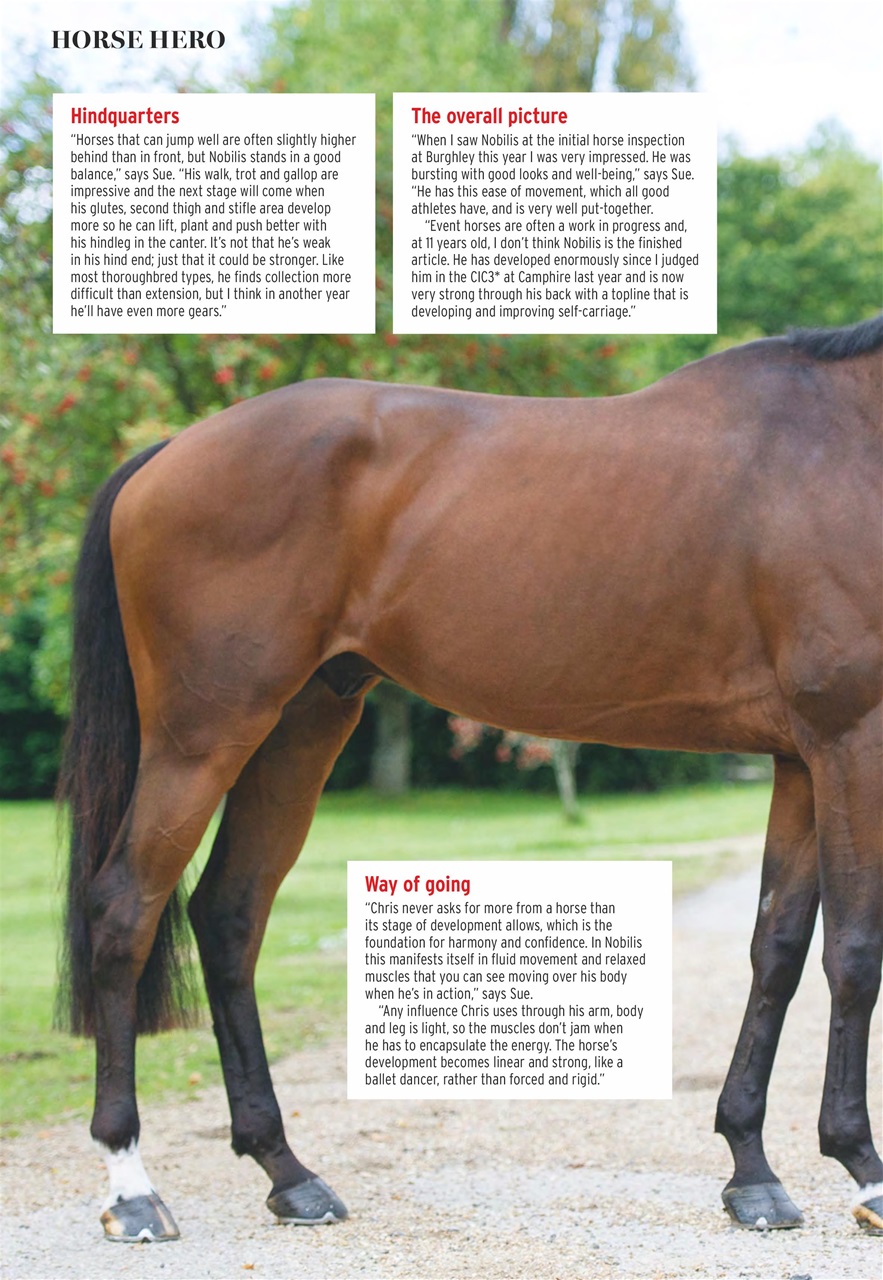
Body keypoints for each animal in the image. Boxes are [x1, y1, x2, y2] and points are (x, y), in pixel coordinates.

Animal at [58, 316, 882, 1242]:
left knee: (229, 915)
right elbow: (854, 953)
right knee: (123, 910)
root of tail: (166, 454)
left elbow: (776, 950)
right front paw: (862, 1168)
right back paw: (132, 1188)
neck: (849, 441)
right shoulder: (852, 739)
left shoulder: (802, 758)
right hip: (202, 736)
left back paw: (289, 1174)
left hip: (298, 729)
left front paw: (751, 1172)